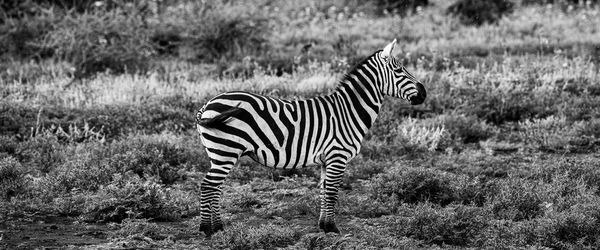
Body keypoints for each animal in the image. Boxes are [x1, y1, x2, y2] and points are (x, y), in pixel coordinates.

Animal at [195, 38, 424, 234]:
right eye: (398, 69)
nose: (424, 93)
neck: (348, 111)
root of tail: (207, 105)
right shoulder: (338, 156)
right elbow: (332, 192)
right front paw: (332, 228)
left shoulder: (327, 160)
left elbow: (324, 190)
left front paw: (323, 225)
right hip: (225, 151)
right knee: (208, 186)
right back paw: (207, 229)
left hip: (218, 154)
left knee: (215, 187)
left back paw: (219, 227)